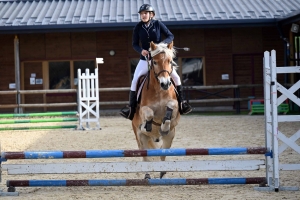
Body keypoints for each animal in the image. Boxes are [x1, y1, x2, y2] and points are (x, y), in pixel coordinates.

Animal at [132, 41, 179, 179]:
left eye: (170, 61)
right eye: (155, 62)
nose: (165, 84)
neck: (159, 90)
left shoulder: (175, 108)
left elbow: (170, 110)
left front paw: (163, 127)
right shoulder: (142, 110)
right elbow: (149, 113)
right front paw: (147, 125)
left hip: (170, 137)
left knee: (163, 152)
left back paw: (162, 172)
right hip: (141, 138)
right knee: (145, 156)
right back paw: (147, 175)